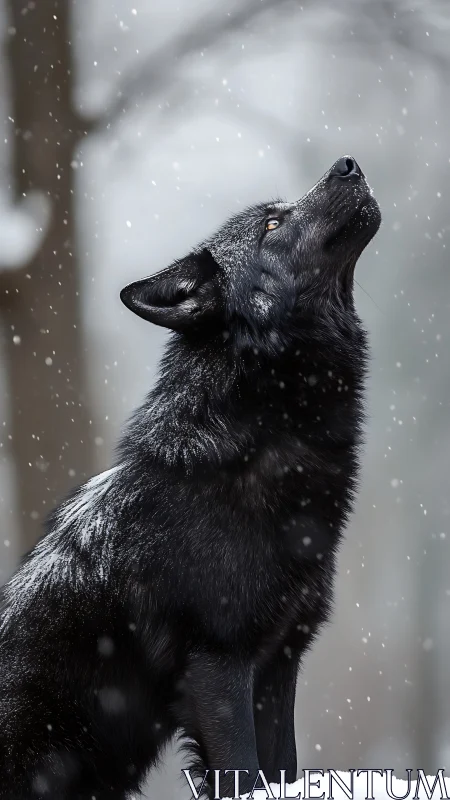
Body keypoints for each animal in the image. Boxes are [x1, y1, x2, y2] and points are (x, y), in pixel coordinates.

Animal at [0, 156, 381, 799]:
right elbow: (243, 770)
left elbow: (280, 767)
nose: (348, 163)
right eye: (272, 224)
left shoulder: (279, 662)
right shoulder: (218, 665)